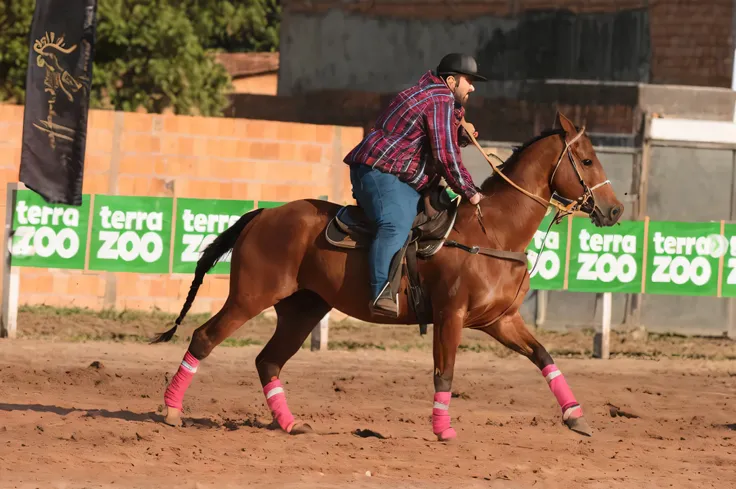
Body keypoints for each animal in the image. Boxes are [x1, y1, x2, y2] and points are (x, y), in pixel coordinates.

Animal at [152, 112, 624, 440]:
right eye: (586, 160)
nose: (616, 210)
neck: (491, 229)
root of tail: (264, 214)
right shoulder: (450, 316)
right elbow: (444, 371)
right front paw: (443, 430)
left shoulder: (500, 320)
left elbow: (543, 356)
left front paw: (576, 417)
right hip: (250, 296)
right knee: (204, 338)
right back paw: (172, 411)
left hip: (302, 309)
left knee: (268, 360)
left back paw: (291, 424)